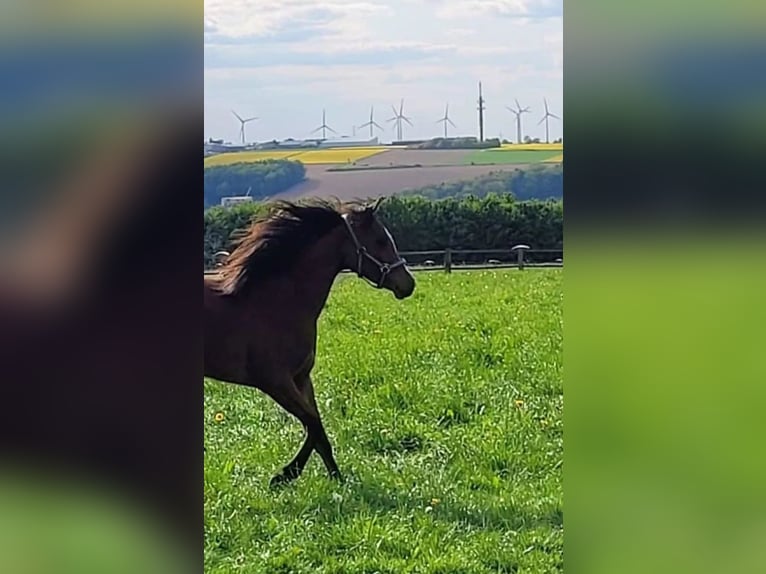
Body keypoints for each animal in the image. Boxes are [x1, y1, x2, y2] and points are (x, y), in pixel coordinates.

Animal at [203, 197, 415, 487]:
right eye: (381, 240)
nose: (408, 284)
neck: (277, 302)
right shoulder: (274, 382)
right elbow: (313, 423)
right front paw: (284, 475)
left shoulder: (302, 378)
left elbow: (318, 430)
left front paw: (337, 479)